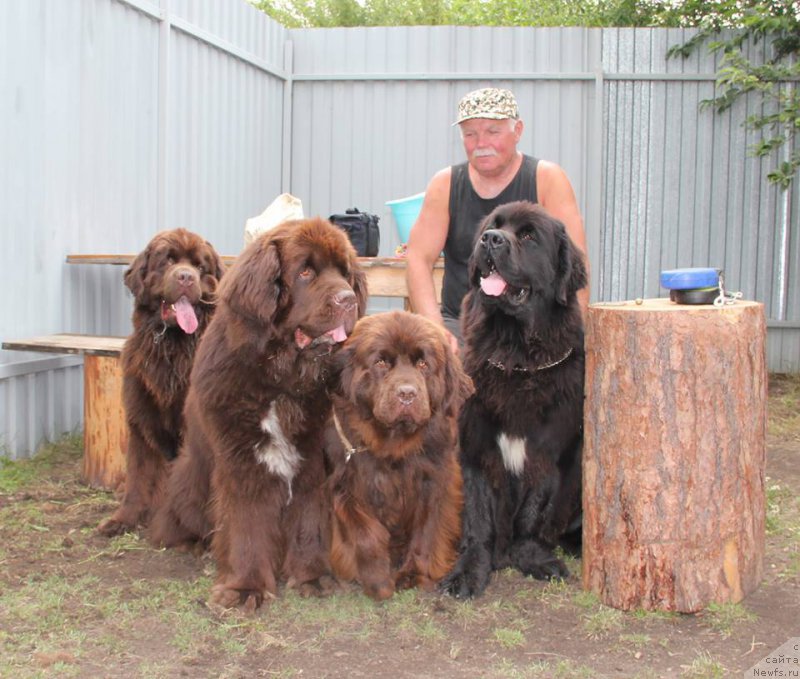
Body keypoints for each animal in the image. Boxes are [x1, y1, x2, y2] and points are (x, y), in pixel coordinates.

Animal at [100, 228, 227, 536]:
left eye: (200, 267)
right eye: (167, 261)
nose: (186, 277)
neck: (172, 346)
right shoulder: (141, 419)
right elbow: (138, 477)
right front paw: (123, 519)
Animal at [150, 218, 368, 612]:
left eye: (345, 274)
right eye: (306, 272)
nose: (349, 300)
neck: (282, 381)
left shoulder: (312, 459)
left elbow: (309, 519)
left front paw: (312, 577)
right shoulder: (242, 459)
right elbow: (247, 523)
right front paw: (245, 588)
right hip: (190, 477)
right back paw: (194, 543)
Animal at [326, 310, 476, 604]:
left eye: (423, 364)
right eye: (381, 362)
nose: (407, 393)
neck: (393, 443)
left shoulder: (435, 480)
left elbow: (426, 529)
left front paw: (414, 573)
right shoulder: (344, 482)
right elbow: (364, 532)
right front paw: (378, 580)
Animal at [440, 202, 584, 600]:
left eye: (530, 236)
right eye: (493, 226)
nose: (491, 240)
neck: (517, 356)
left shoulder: (551, 454)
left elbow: (533, 512)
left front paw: (531, 556)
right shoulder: (476, 447)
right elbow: (477, 517)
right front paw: (469, 571)